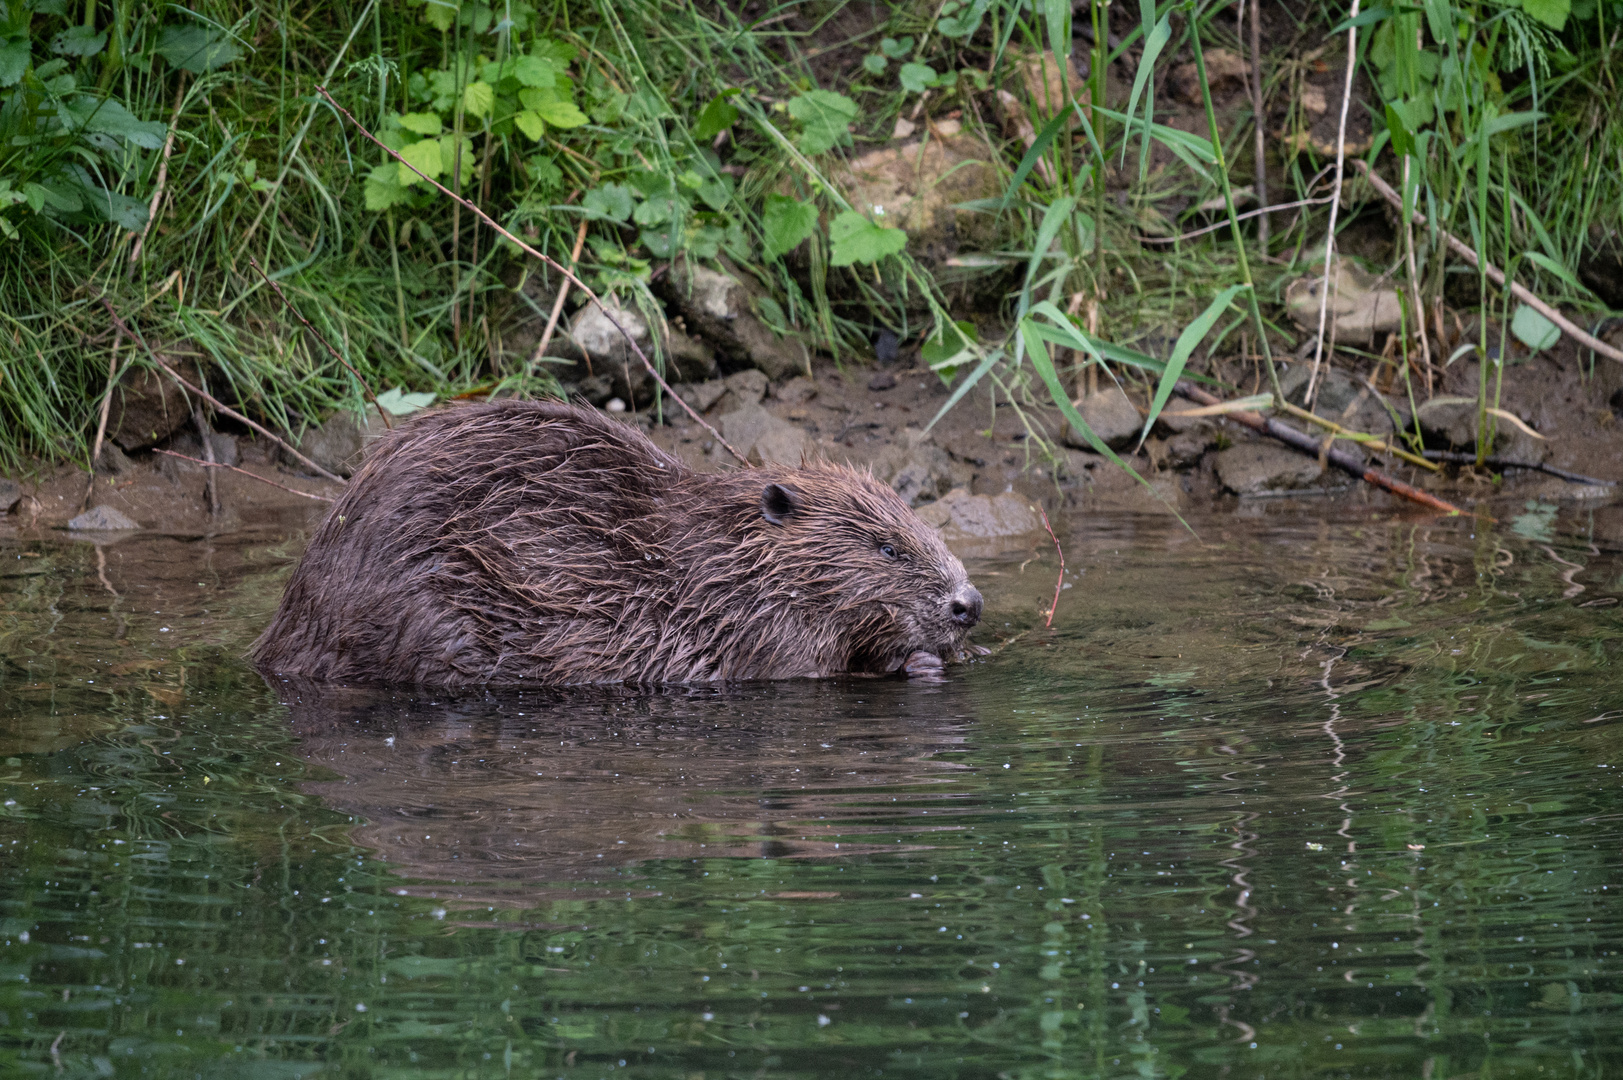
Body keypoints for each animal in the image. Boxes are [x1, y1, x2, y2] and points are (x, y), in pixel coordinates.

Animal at [249, 399, 986, 685]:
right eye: (886, 549)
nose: (968, 603)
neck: (721, 561)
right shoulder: (759, 625)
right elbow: (807, 671)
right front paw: (918, 663)